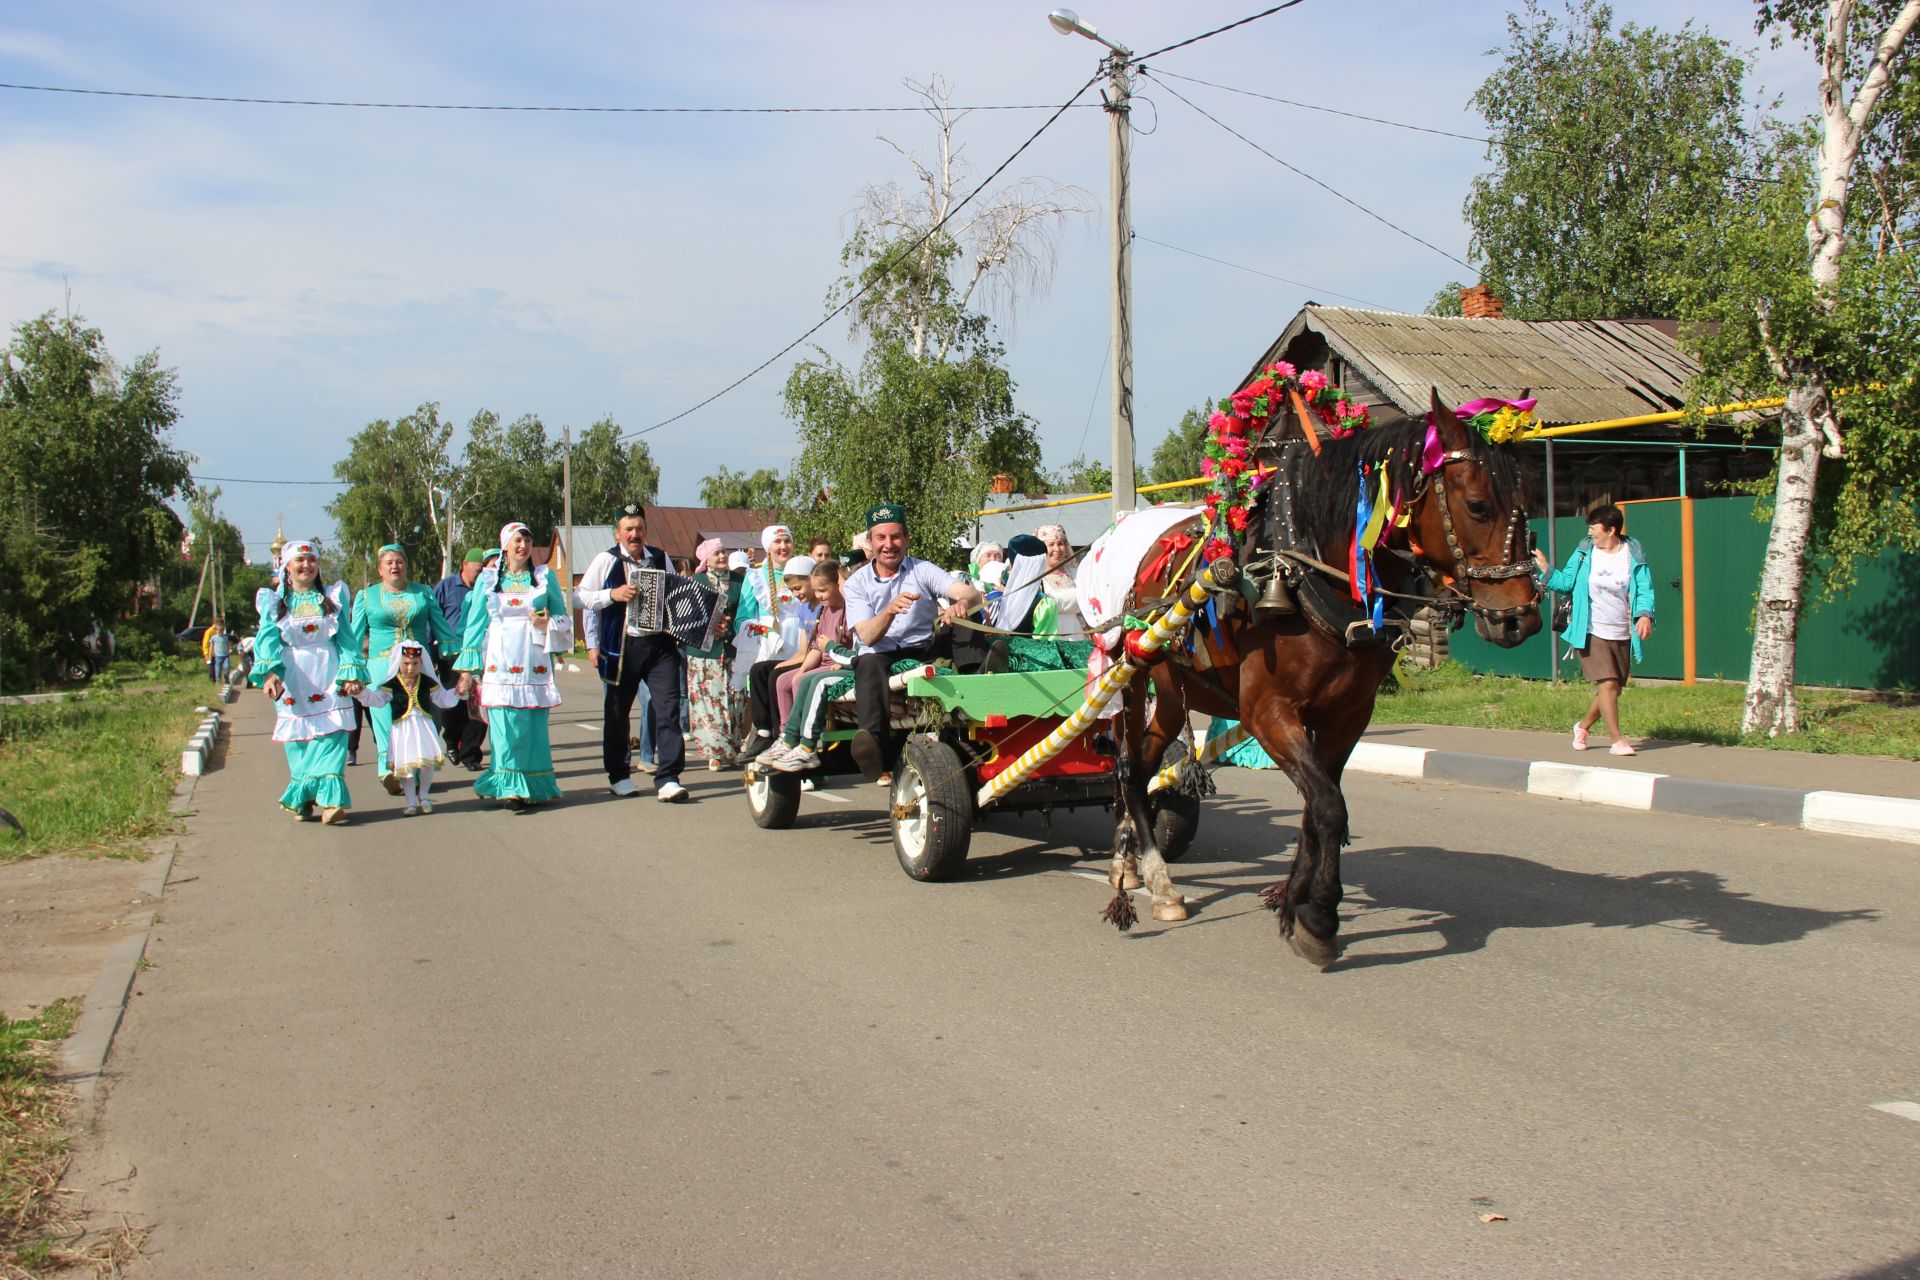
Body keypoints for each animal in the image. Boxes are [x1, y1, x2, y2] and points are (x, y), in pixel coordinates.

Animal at [1105, 391, 1536, 971]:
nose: (1521, 621)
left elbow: (1318, 807)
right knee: (1129, 769)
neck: (1305, 570)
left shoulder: (1348, 715)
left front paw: (1295, 901)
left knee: (1144, 770)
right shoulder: (1267, 713)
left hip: (1174, 694)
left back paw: (1131, 864)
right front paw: (1320, 918)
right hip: (1132, 676)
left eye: (1527, 504)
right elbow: (1330, 807)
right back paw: (1159, 880)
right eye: (1478, 506)